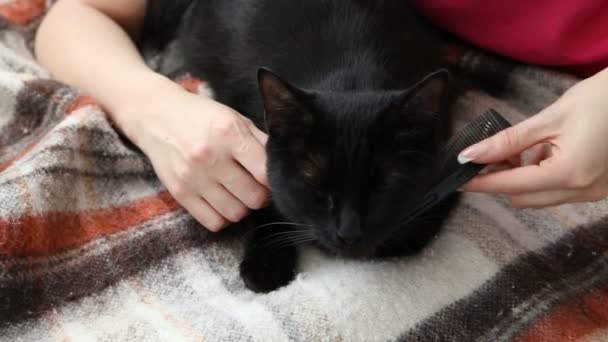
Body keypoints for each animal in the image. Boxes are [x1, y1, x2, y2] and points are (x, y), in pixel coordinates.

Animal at [144, 0, 460, 292]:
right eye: (315, 184)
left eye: (384, 186)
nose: (348, 233)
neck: (352, 79)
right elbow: (269, 199)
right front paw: (266, 264)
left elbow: (409, 232)